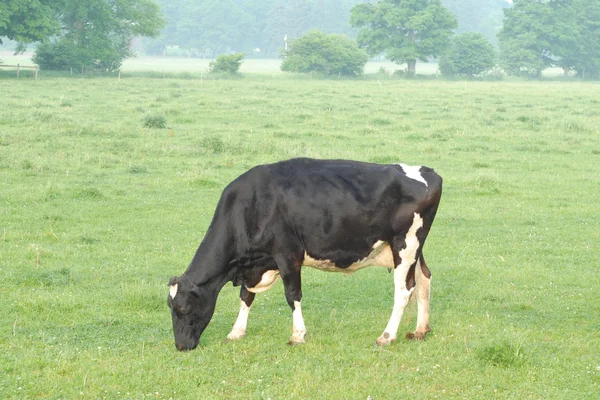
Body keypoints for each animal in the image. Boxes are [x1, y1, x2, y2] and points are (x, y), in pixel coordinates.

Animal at [166, 156, 442, 350]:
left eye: (183, 309)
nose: (181, 346)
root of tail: (428, 171)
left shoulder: (288, 254)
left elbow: (292, 296)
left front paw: (297, 335)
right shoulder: (255, 263)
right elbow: (246, 296)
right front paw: (236, 332)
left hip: (405, 244)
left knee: (404, 289)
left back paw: (386, 336)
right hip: (413, 248)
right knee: (424, 278)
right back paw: (420, 330)